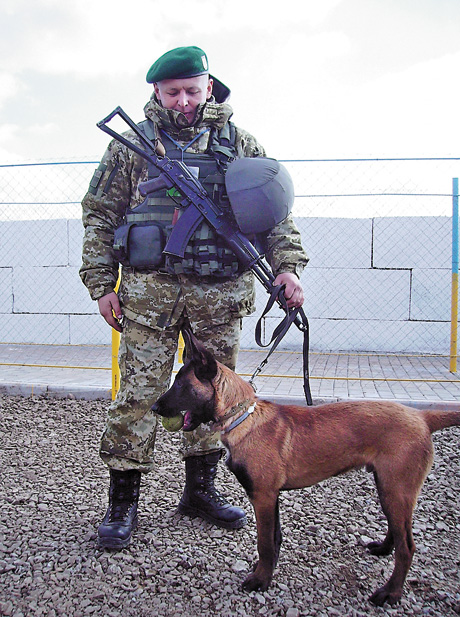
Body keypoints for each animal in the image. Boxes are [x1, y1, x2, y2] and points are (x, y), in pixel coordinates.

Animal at [153, 330, 460, 604]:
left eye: (180, 385)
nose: (155, 408)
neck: (243, 417)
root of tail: (422, 417)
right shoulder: (271, 497)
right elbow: (274, 539)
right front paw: (267, 572)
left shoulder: (263, 496)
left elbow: (264, 542)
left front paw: (260, 580)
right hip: (388, 488)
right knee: (398, 531)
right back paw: (383, 549)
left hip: (396, 490)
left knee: (407, 546)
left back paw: (390, 593)